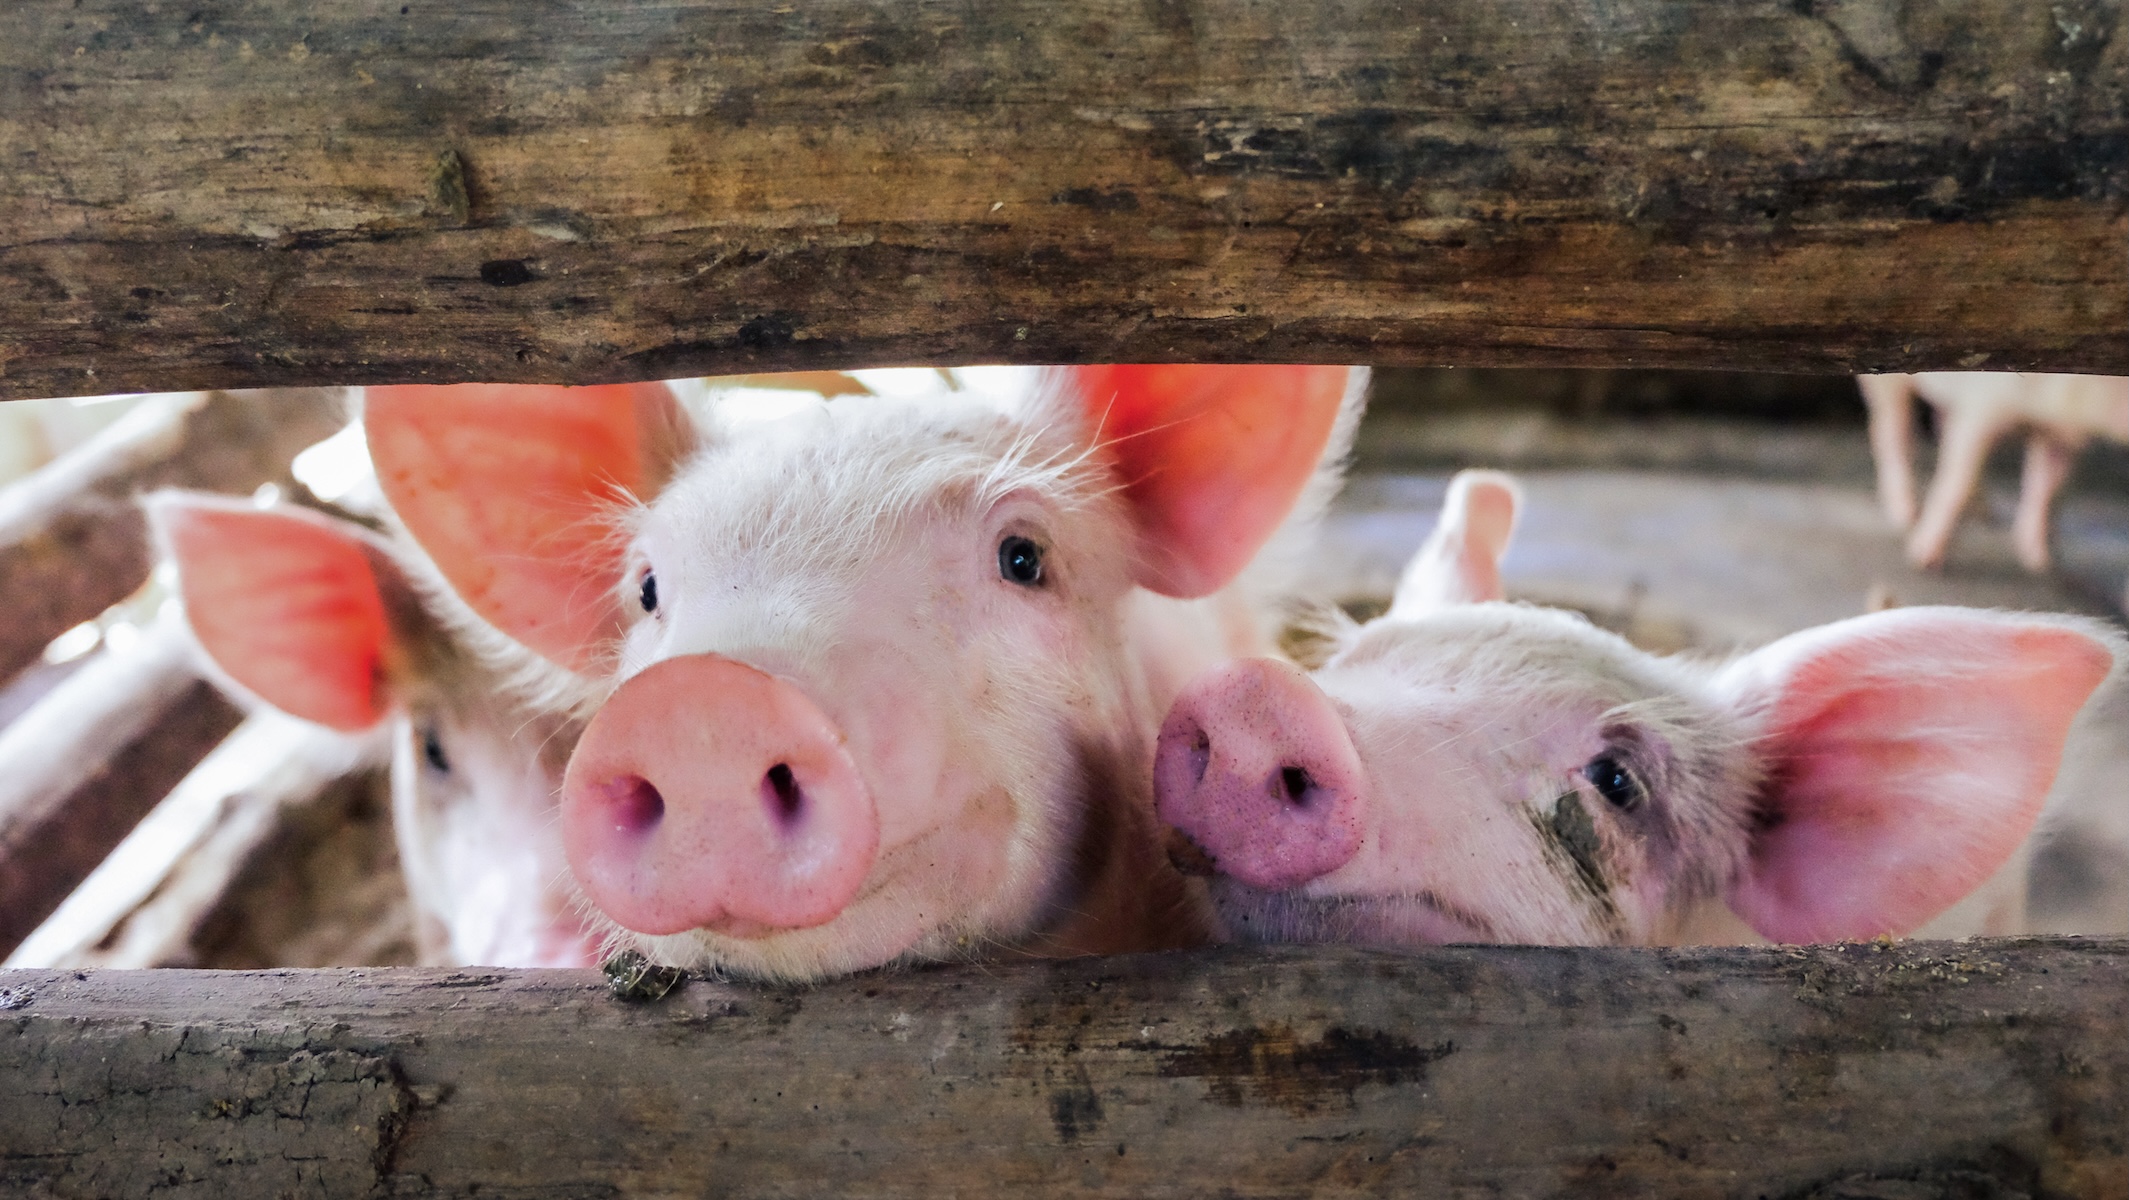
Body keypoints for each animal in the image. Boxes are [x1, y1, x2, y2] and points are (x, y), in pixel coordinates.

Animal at [1859, 372, 2129, 573]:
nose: (2046, 561)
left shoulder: (2058, 435)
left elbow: (2048, 491)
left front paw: (2042, 562)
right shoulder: (1983, 407)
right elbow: (1958, 480)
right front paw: (1924, 561)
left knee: (1942, 423)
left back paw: (1985, 513)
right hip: (1888, 383)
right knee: (1891, 431)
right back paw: (1906, 514)